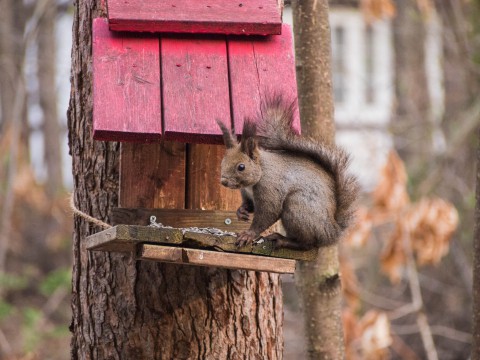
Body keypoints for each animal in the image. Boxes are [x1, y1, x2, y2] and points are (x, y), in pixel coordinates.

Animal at [216, 94, 358, 249]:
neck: (261, 171)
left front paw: (248, 235)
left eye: (241, 167)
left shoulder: (270, 188)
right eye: (222, 162)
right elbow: (249, 205)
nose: (223, 181)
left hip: (297, 208)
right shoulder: (247, 195)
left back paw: (283, 240)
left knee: (307, 244)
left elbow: (268, 213)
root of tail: (331, 233)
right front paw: (241, 212)